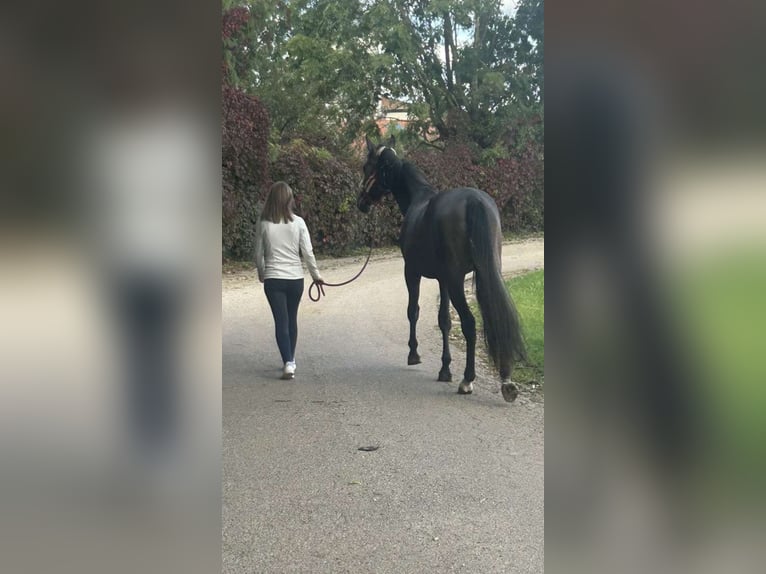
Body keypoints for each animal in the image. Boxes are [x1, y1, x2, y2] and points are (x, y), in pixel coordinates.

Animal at [358, 137, 528, 402]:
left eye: (367, 167)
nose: (361, 202)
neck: (418, 199)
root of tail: (474, 201)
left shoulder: (412, 273)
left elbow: (413, 311)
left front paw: (414, 354)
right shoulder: (443, 280)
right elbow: (444, 320)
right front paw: (445, 368)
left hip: (457, 281)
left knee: (469, 323)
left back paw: (467, 380)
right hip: (486, 272)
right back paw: (506, 380)